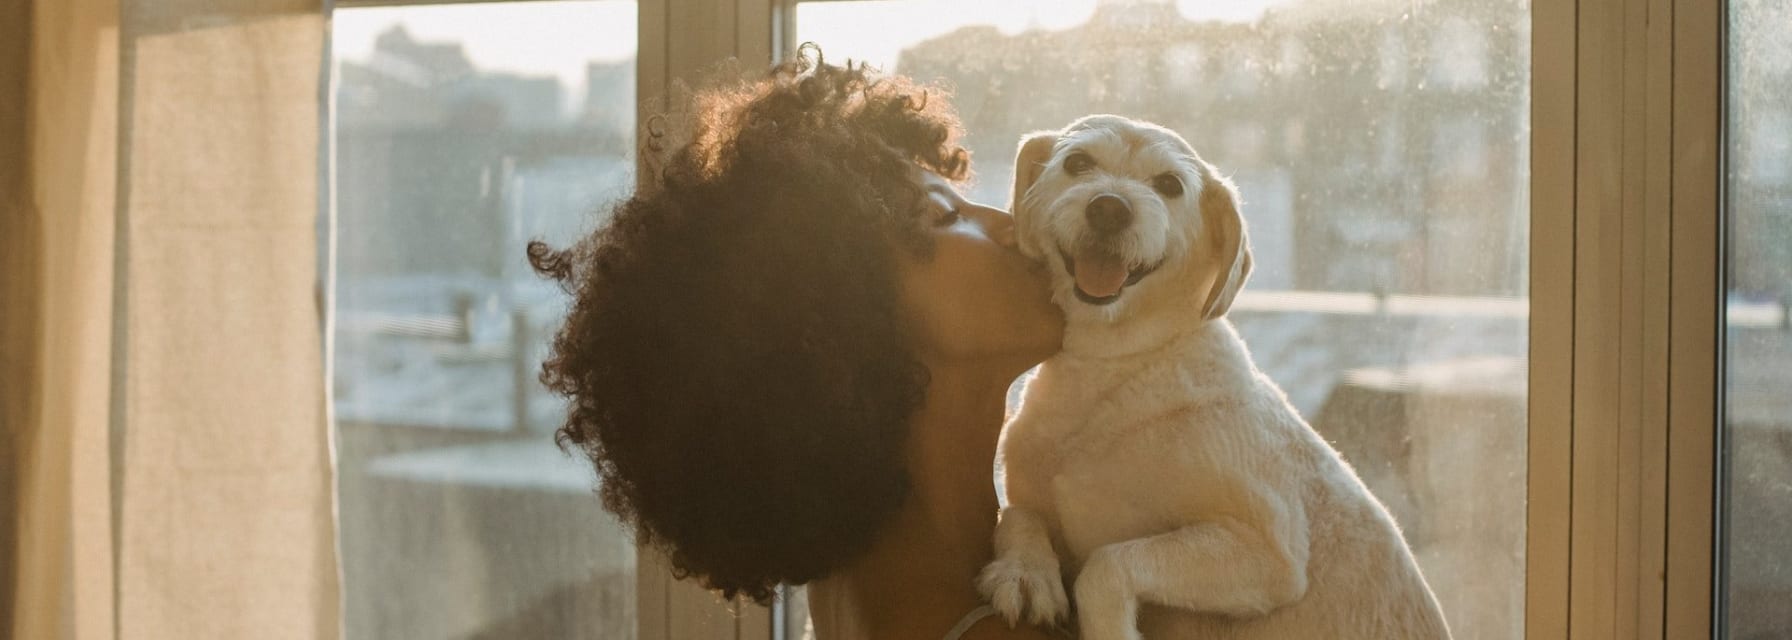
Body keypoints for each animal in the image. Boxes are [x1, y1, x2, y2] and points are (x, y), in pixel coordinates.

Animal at [982, 115, 1455, 638]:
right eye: (1077, 162)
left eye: (1170, 184)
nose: (1109, 208)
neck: (1115, 367)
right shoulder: (1028, 493)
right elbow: (1018, 515)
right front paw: (1024, 573)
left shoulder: (1269, 552)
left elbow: (1108, 564)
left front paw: (1105, 623)